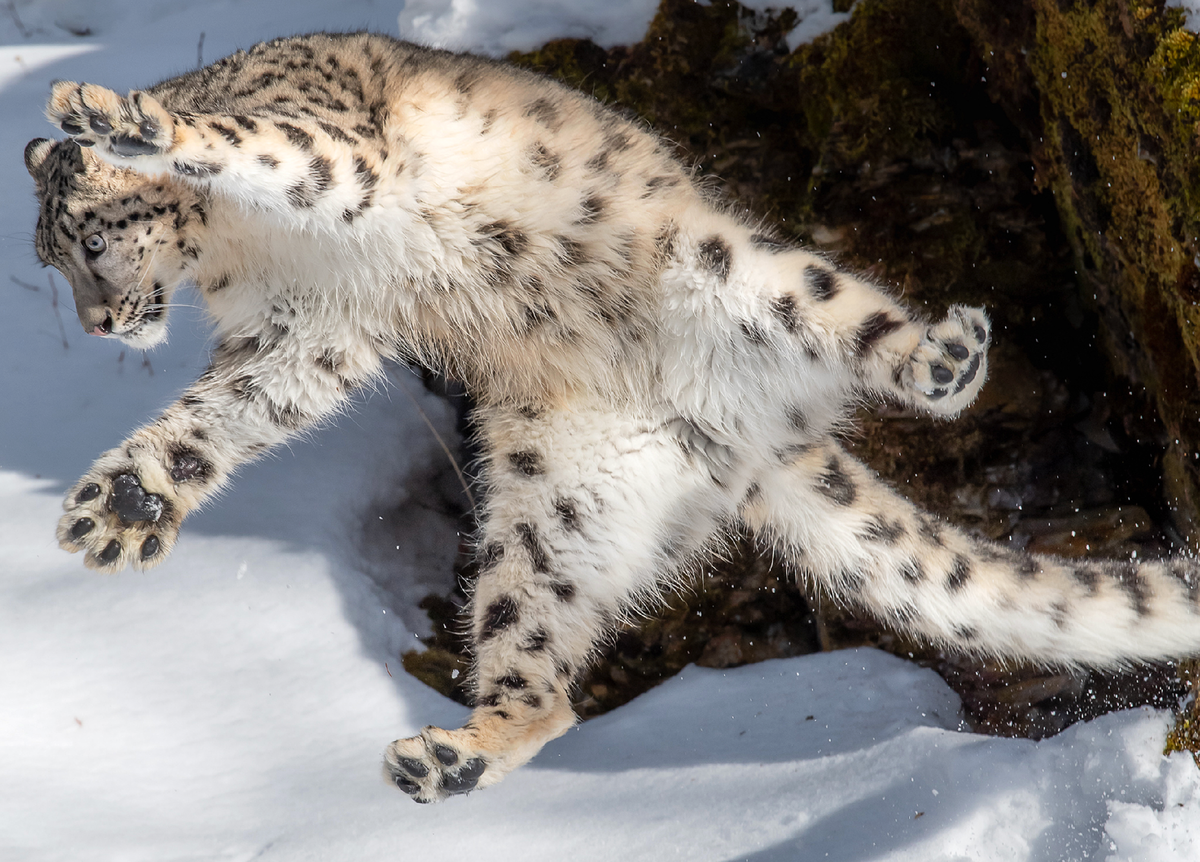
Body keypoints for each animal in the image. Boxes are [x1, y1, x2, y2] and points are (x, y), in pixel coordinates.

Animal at [23, 32, 1200, 801]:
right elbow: (224, 414)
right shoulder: (305, 331)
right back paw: (448, 756)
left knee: (871, 333)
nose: (100, 324)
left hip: (751, 271)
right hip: (552, 518)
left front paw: (117, 119)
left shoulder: (332, 160)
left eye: (89, 240)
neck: (248, 253)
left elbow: (244, 140)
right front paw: (123, 501)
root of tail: (745, 434)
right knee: (544, 682)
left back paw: (943, 356)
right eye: (60, 258)